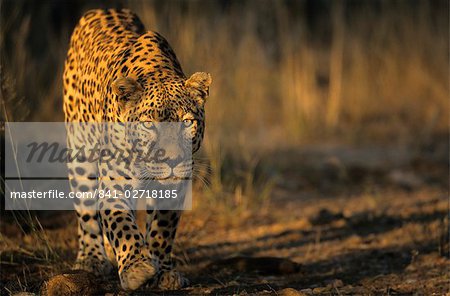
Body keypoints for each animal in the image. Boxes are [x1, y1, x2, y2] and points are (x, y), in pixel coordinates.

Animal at [62, 8, 213, 290]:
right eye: (148, 124)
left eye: (187, 122)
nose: (172, 160)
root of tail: (101, 9)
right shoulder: (114, 180)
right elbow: (120, 222)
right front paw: (137, 268)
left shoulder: (174, 187)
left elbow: (162, 229)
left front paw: (163, 272)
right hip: (80, 151)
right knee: (87, 212)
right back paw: (92, 258)